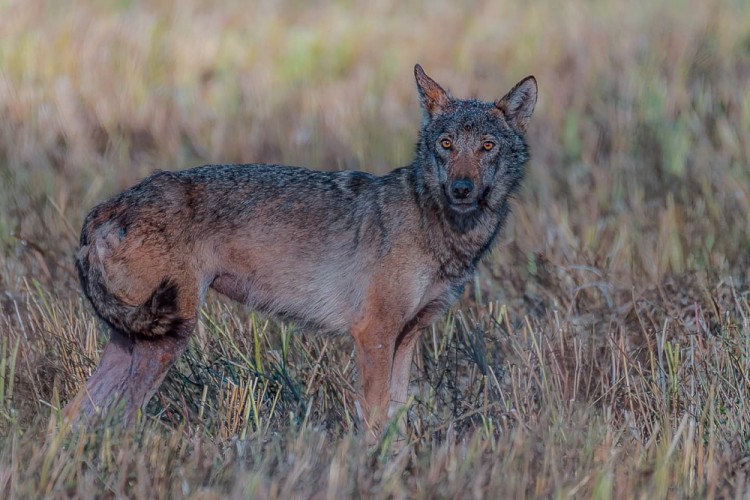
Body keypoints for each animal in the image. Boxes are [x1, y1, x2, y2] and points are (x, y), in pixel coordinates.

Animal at [63, 65, 536, 442]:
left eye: (487, 146)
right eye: (446, 144)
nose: (462, 189)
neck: (436, 224)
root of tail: (108, 205)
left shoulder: (407, 337)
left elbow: (397, 417)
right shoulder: (374, 334)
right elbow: (374, 420)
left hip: (135, 342)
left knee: (74, 416)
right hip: (167, 339)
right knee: (116, 419)